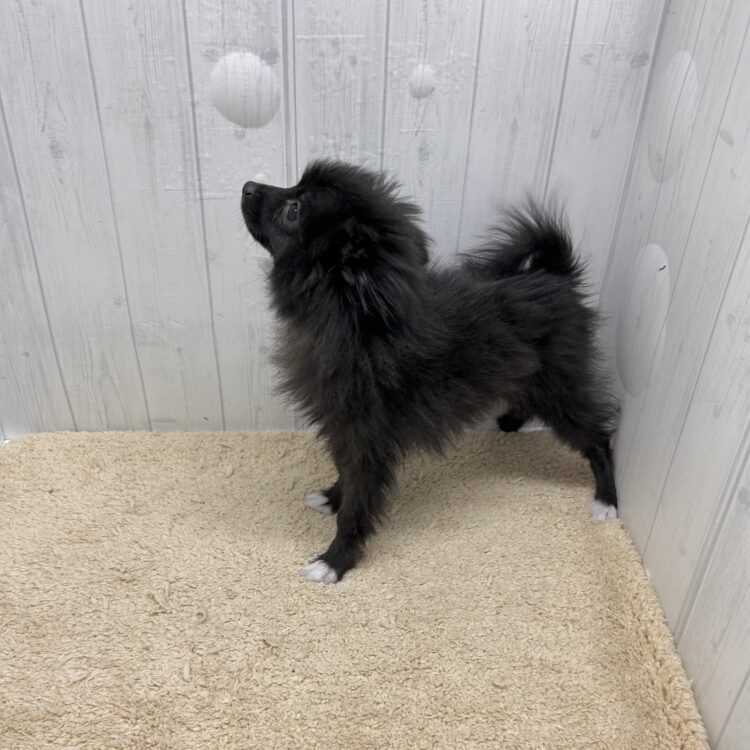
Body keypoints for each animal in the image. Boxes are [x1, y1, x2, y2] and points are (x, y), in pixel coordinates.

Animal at [241, 160, 618, 583]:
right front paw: (332, 498)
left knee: (598, 438)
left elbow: (358, 501)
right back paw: (510, 422)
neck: (350, 319)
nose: (248, 185)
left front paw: (336, 559)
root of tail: (558, 277)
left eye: (293, 210)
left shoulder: (366, 438)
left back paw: (606, 500)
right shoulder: (344, 429)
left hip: (560, 387)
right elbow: (345, 475)